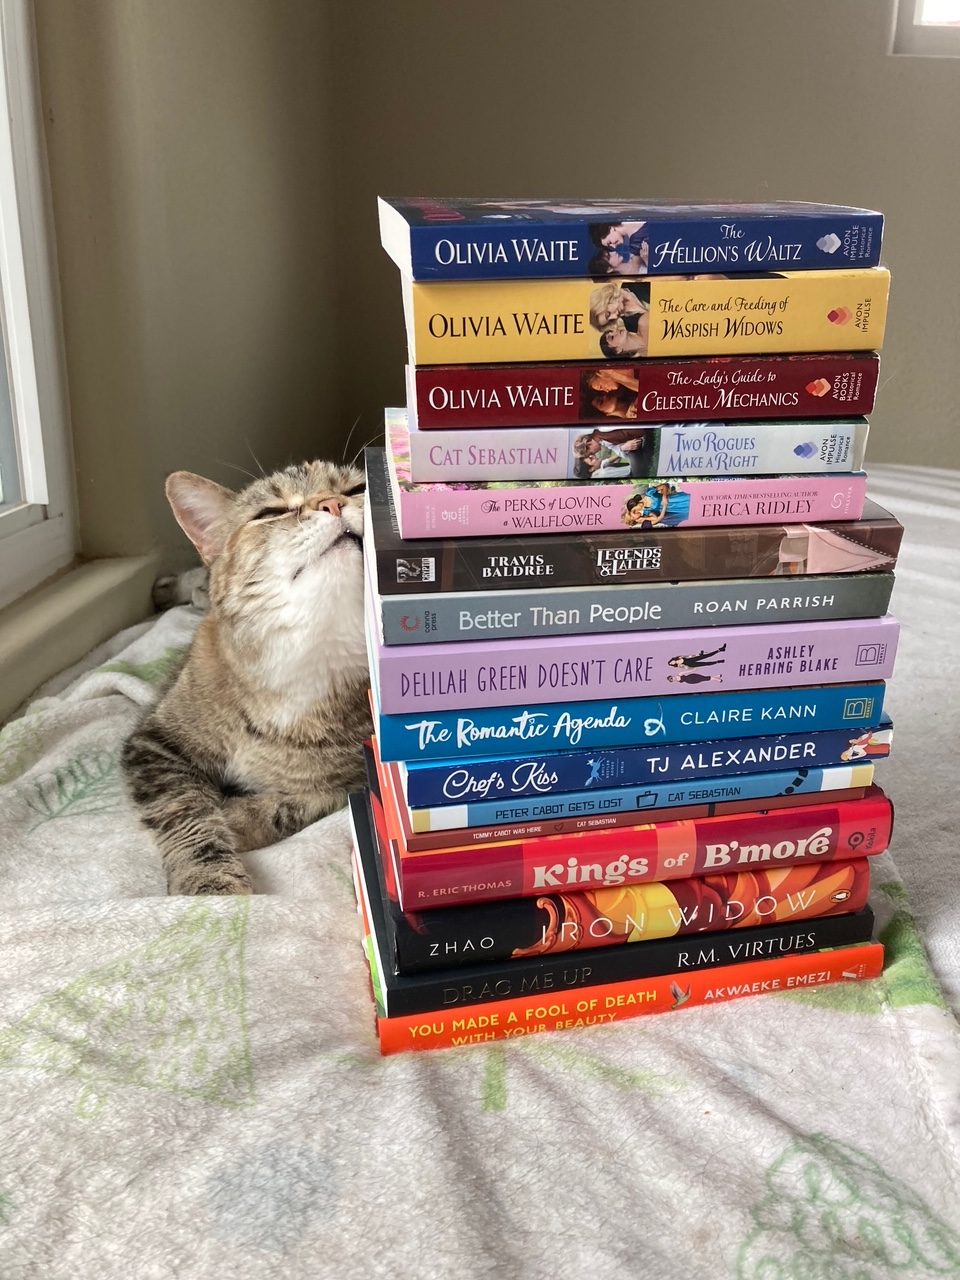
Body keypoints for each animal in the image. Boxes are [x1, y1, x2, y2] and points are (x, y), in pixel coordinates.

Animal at [122, 465, 371, 896]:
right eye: (271, 511)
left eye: (357, 488)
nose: (332, 503)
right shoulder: (153, 745)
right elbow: (187, 814)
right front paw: (210, 881)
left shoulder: (355, 782)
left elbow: (300, 802)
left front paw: (237, 818)